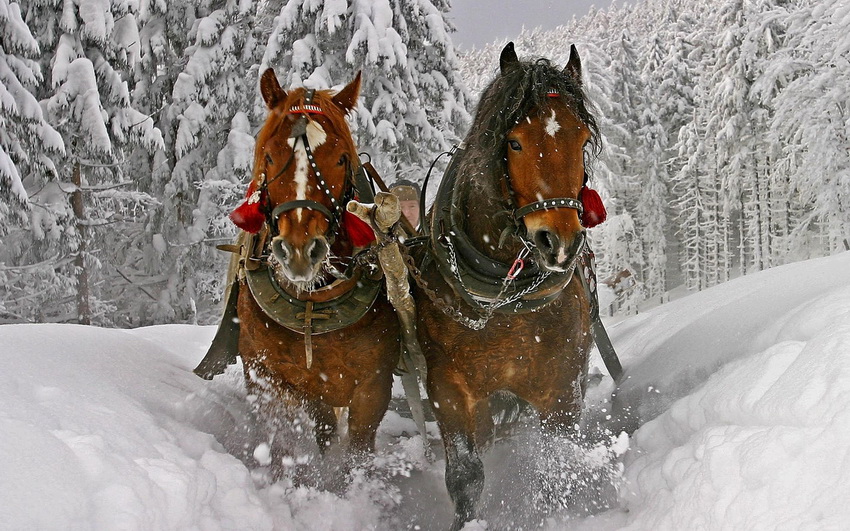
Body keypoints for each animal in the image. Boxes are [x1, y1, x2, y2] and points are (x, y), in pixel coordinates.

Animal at [224, 69, 400, 474]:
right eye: (270, 155)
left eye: (340, 159)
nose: (300, 251)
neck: (312, 305)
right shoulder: (270, 378)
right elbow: (287, 442)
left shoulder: (373, 386)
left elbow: (358, 453)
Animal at [414, 42, 600, 528]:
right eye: (514, 142)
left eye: (582, 140)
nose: (559, 242)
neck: (503, 301)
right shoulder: (449, 389)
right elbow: (465, 476)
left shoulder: (562, 386)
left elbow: (558, 463)